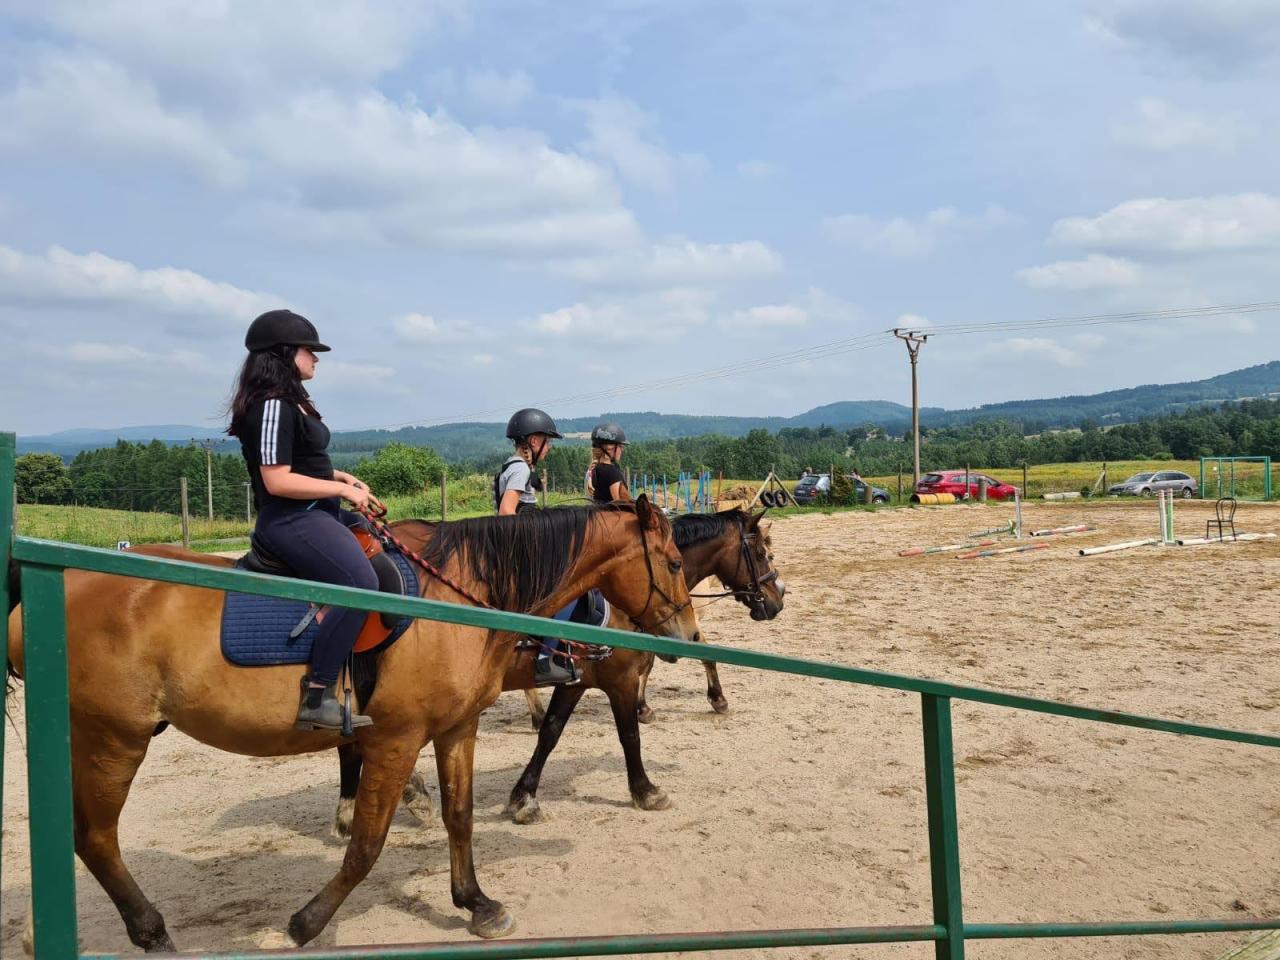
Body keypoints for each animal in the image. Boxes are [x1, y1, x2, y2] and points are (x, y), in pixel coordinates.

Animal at [6, 496, 699, 951]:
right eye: (670, 561)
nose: (690, 636)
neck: (455, 601)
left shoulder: (456, 730)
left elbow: (460, 817)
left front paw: (477, 904)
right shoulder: (396, 739)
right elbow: (366, 844)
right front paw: (307, 923)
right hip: (112, 739)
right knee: (95, 836)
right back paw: (149, 931)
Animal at [333, 508, 784, 832]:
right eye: (763, 553)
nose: (778, 600)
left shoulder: (576, 681)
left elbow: (550, 733)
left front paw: (524, 797)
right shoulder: (618, 679)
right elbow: (629, 736)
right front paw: (646, 790)